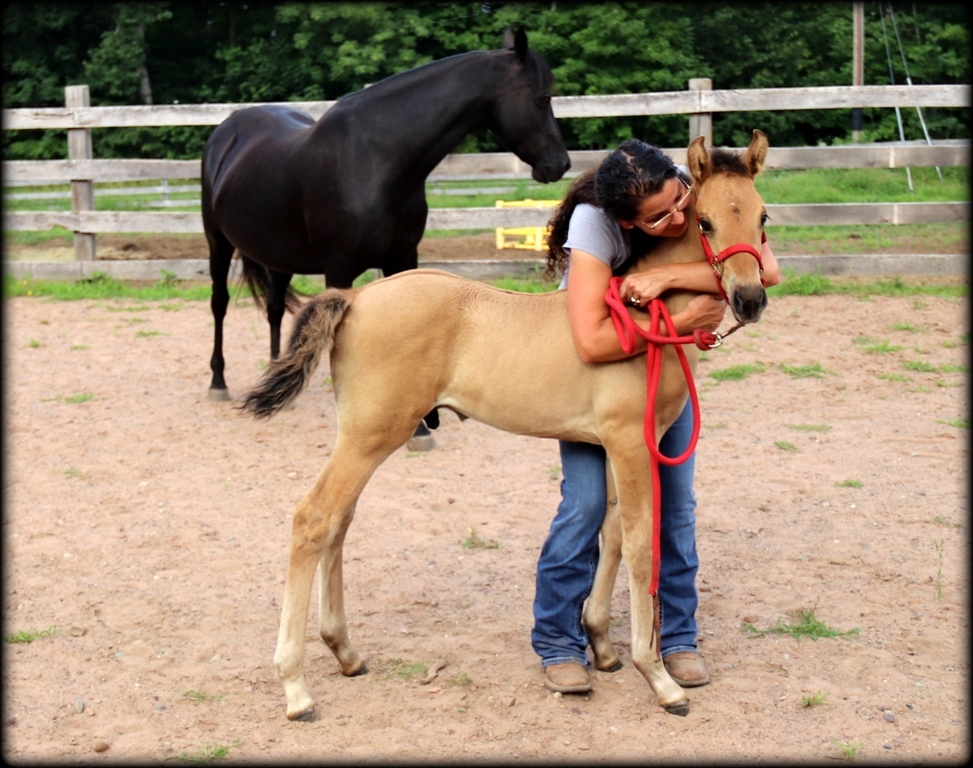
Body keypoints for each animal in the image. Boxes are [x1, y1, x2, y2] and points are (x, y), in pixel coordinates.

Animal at [203, 27, 568, 448]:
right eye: (542, 98)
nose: (560, 164)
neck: (377, 158)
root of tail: (227, 130)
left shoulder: (403, 258)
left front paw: (421, 430)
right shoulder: (339, 267)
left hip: (278, 256)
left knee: (276, 308)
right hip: (217, 243)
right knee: (219, 304)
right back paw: (218, 382)